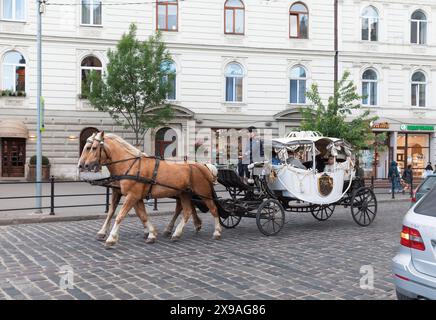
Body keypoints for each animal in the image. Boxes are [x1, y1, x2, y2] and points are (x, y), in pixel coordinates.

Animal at [79, 131, 221, 246]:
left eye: (93, 148)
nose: (82, 165)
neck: (130, 165)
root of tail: (201, 166)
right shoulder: (131, 196)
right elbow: (140, 215)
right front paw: (151, 233)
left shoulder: (132, 196)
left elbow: (120, 215)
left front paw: (111, 238)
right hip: (184, 194)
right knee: (186, 211)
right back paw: (177, 232)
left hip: (203, 192)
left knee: (213, 209)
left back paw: (217, 231)